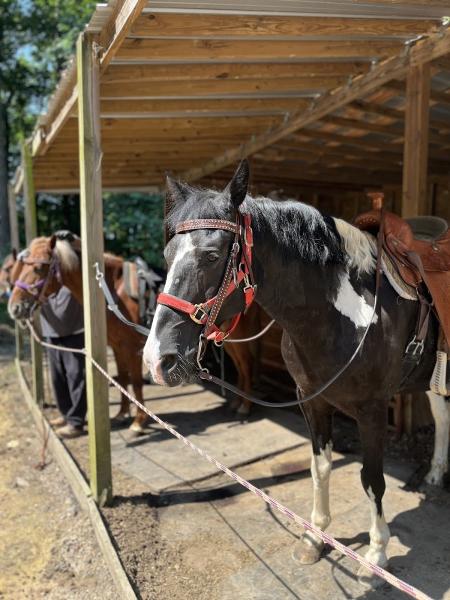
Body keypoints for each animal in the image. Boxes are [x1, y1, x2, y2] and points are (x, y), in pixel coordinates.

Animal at [8, 236, 149, 436]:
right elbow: (122, 378)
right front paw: (121, 414)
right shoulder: (118, 346)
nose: (14, 308)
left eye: (38, 267)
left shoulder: (133, 347)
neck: (115, 293)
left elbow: (136, 382)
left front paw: (138, 422)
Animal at [143, 162, 442, 584]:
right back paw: (434, 475)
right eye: (167, 254)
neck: (344, 314)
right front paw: (315, 537)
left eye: (213, 255)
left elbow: (372, 479)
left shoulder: (371, 410)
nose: (158, 359)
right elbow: (320, 468)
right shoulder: (311, 401)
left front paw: (376, 554)